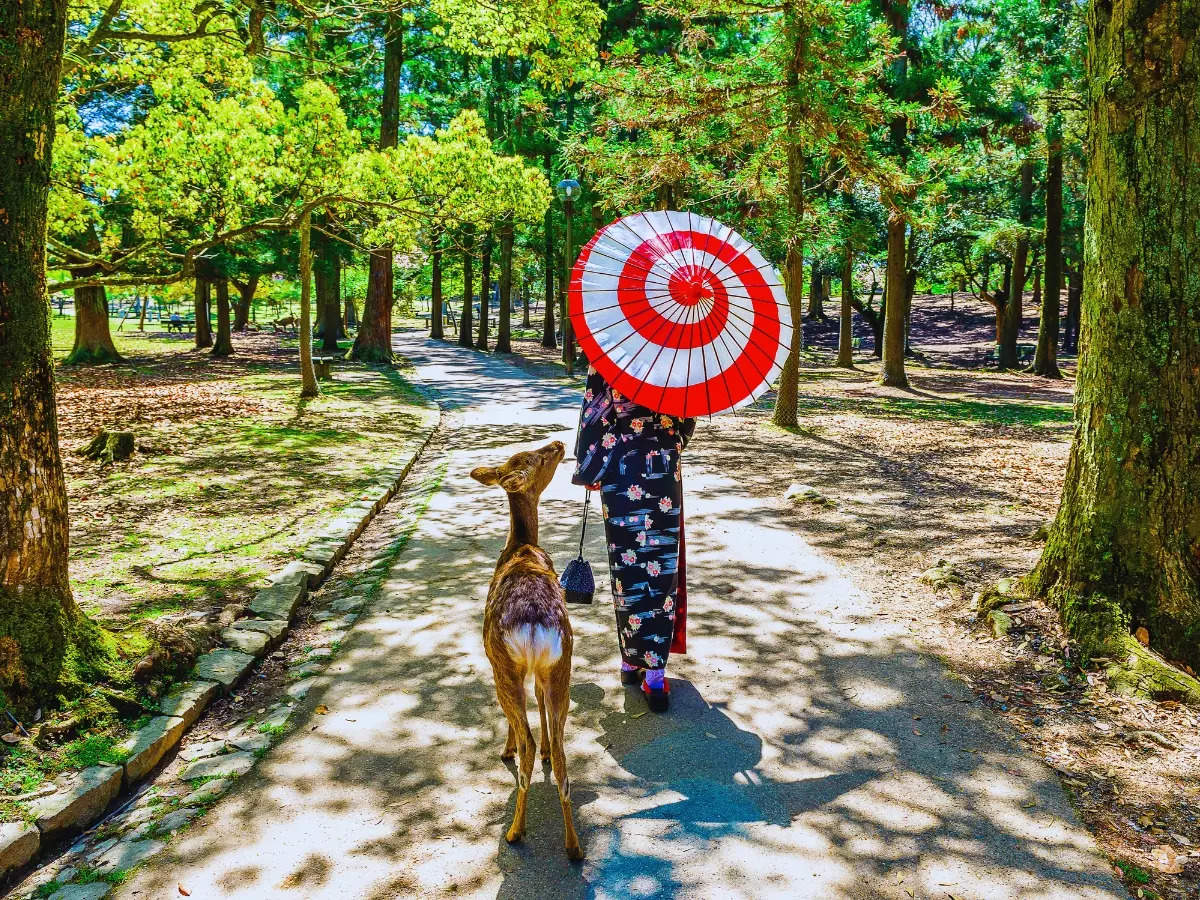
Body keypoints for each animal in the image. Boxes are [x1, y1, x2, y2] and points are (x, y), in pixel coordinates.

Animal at [465, 441, 583, 864]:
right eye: (536, 456)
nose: (559, 444)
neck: (520, 547)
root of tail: (533, 626)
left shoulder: (497, 665)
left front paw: (505, 748)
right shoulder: (543, 671)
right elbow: (540, 704)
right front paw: (543, 747)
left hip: (504, 665)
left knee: (526, 742)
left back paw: (516, 831)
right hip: (562, 663)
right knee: (563, 758)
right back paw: (574, 846)